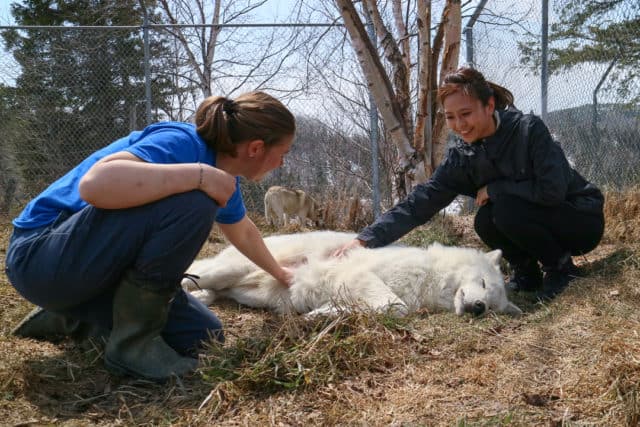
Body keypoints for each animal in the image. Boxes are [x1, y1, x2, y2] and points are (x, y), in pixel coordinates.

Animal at [182, 231, 524, 318]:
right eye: (482, 283)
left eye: (493, 308)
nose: (478, 307)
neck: (430, 276)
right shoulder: (363, 277)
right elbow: (395, 306)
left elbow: (363, 309)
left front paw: (321, 315)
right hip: (234, 266)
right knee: (195, 275)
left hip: (243, 290)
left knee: (213, 292)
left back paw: (199, 298)